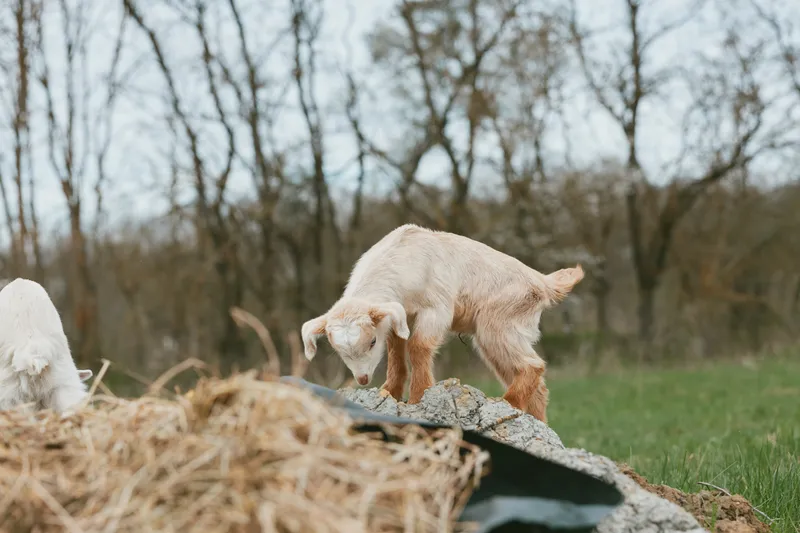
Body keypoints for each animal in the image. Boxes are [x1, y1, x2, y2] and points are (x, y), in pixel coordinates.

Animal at [301, 224, 584, 423]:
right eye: (339, 351)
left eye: (371, 342)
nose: (361, 379)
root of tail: (544, 283)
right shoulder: (399, 315)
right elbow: (396, 349)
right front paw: (390, 391)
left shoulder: (436, 309)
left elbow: (418, 346)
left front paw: (418, 396)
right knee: (538, 386)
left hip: (498, 324)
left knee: (533, 365)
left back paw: (507, 403)